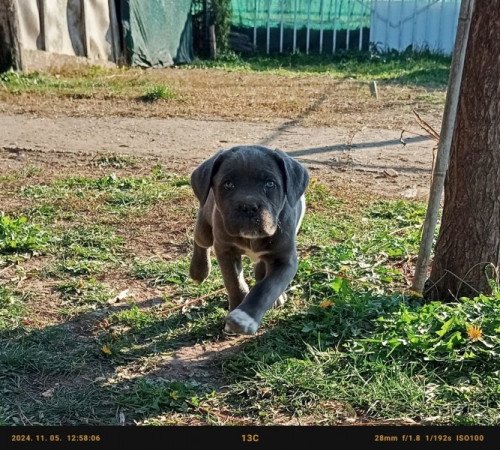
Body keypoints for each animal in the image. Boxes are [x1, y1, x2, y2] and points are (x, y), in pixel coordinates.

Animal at [188, 145, 308, 334]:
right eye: (228, 184)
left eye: (270, 184)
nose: (248, 206)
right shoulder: (225, 250)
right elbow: (234, 282)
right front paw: (236, 310)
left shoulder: (285, 259)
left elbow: (267, 287)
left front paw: (244, 317)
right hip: (205, 227)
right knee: (200, 241)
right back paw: (198, 271)